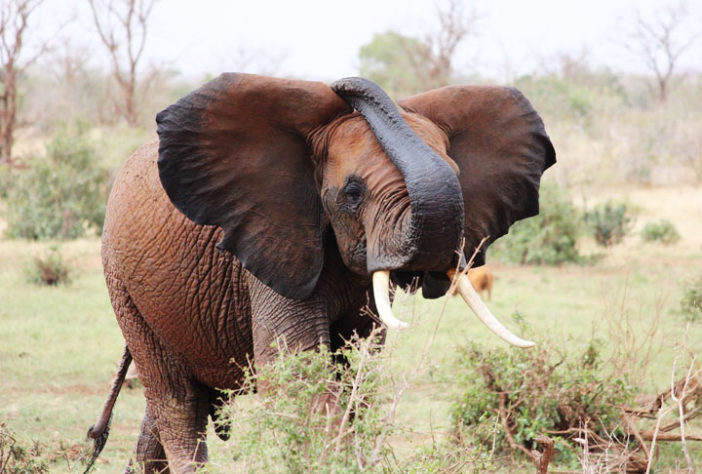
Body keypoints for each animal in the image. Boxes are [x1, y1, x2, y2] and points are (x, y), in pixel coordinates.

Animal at [85, 72, 556, 472]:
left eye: (458, 177)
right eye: (353, 192)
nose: (344, 85)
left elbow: (357, 371)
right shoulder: (275, 237)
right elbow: (296, 368)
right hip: (124, 285)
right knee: (177, 402)